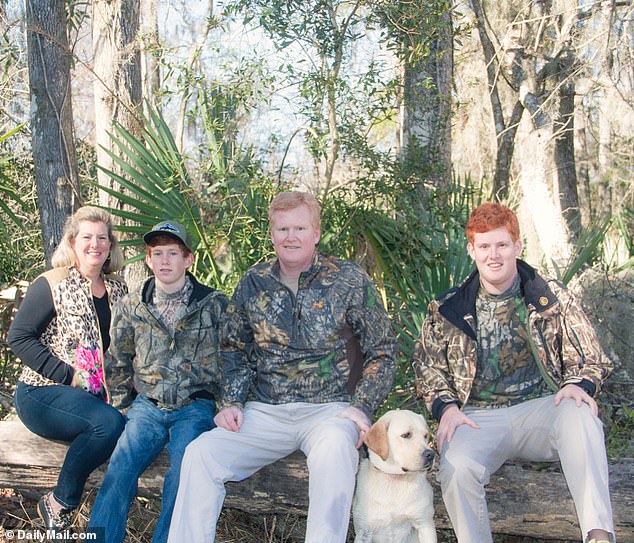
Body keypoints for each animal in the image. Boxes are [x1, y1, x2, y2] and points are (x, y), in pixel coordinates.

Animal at [350, 410, 434, 540]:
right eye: (406, 435)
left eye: (425, 436)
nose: (431, 454)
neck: (395, 479)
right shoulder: (364, 531)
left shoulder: (425, 524)